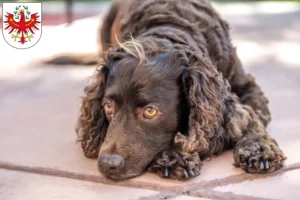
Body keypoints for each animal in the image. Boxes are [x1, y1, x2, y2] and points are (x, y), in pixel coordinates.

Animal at [45, 0, 284, 181]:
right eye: (108, 106)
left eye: (150, 111)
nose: (107, 164)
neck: (169, 27)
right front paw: (174, 156)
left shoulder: (248, 88)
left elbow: (252, 117)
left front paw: (259, 149)